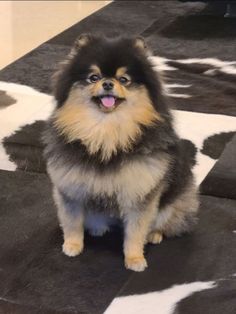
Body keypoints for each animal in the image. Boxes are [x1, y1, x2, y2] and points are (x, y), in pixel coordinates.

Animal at [42, 33, 199, 272]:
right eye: (93, 77)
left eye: (124, 79)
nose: (107, 83)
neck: (107, 132)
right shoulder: (71, 188)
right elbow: (72, 222)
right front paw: (72, 245)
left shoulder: (140, 193)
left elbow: (135, 231)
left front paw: (134, 259)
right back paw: (98, 227)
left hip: (176, 202)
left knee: (167, 221)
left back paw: (154, 234)